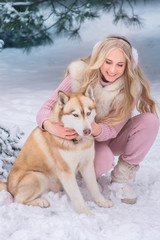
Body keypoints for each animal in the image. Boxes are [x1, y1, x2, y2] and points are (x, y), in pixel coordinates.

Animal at [0, 86, 112, 216]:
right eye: (75, 115)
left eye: (88, 113)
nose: (87, 131)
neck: (77, 142)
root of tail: (8, 185)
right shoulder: (66, 171)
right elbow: (77, 196)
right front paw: (85, 213)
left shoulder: (87, 165)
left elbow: (94, 188)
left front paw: (102, 202)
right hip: (38, 176)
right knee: (18, 199)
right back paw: (41, 201)